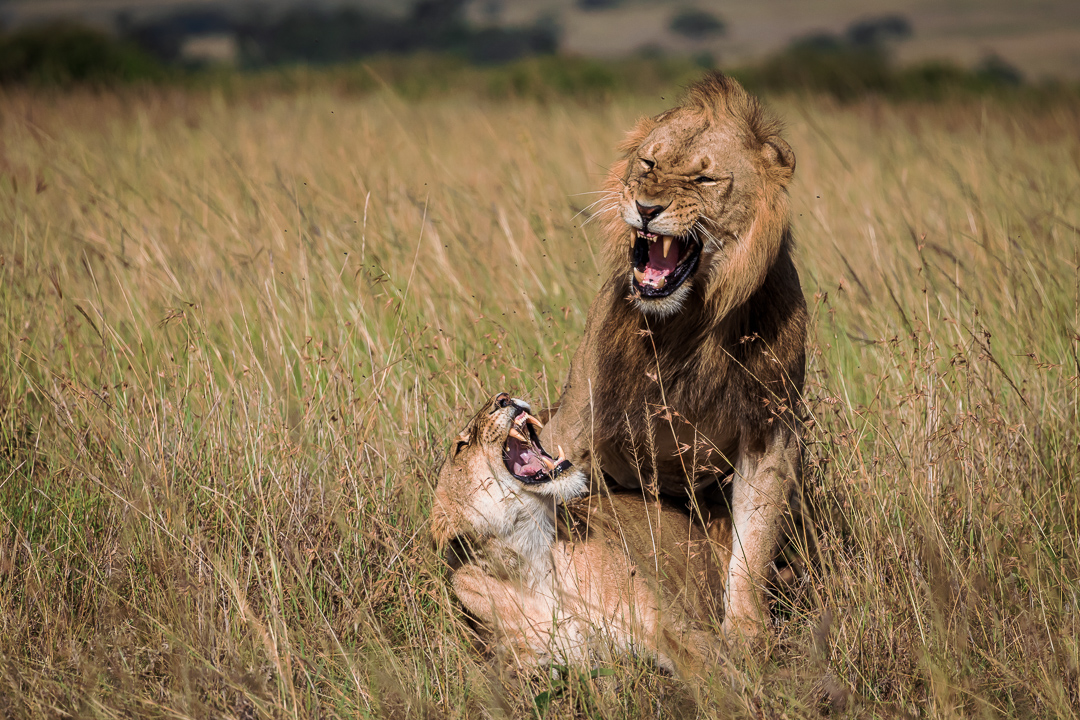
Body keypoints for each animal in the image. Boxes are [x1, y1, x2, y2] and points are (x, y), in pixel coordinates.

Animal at [544, 71, 807, 643]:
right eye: (648, 164)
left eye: (705, 180)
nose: (646, 208)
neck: (686, 323)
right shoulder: (577, 420)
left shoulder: (770, 432)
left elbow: (753, 544)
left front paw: (746, 636)